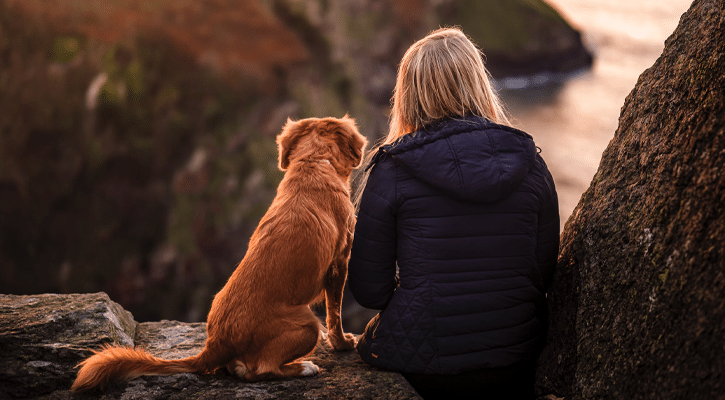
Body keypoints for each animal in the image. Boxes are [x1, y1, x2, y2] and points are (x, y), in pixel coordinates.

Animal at [72, 115, 368, 390]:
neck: (313, 162)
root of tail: (216, 343)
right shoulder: (340, 262)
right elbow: (335, 313)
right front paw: (343, 344)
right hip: (307, 324)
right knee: (261, 370)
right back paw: (303, 367)